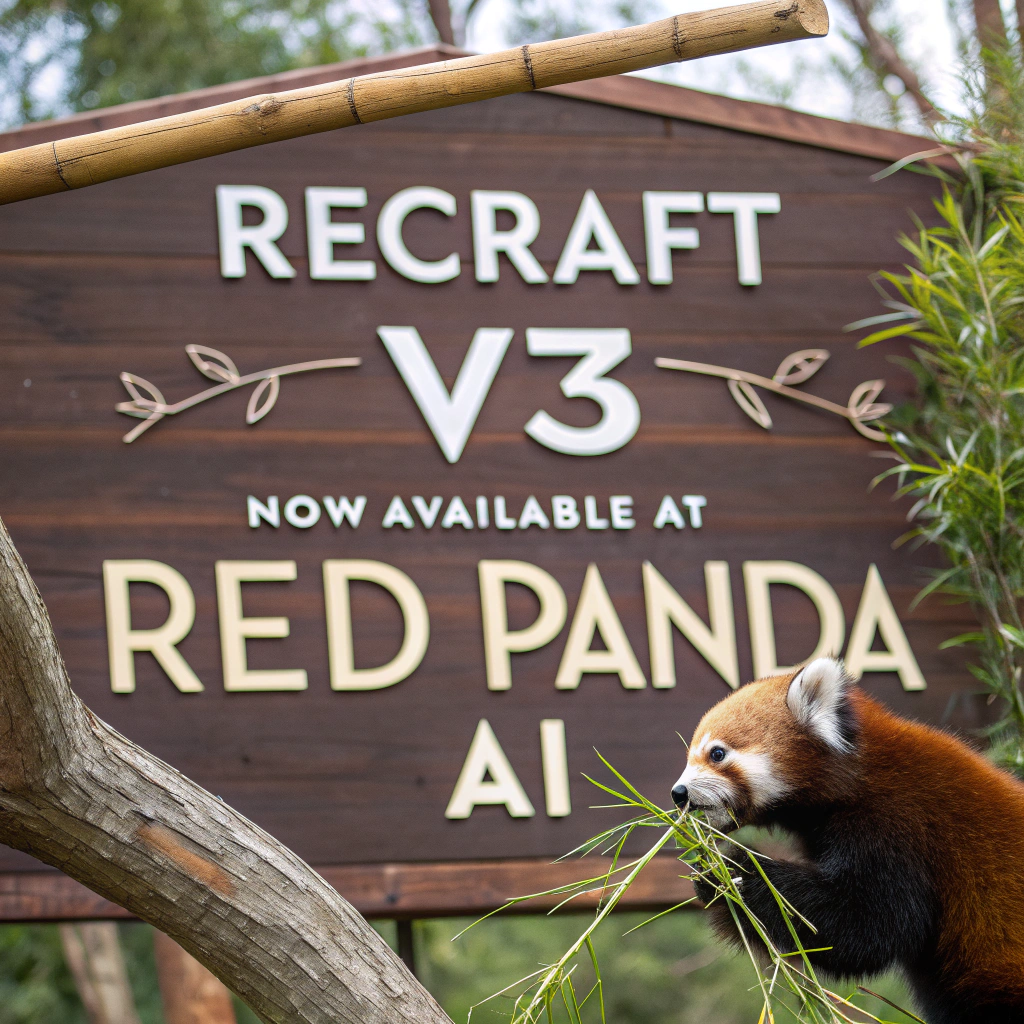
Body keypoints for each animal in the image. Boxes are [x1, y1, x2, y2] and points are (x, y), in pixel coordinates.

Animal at [671, 657, 1024, 1024]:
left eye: (716, 754)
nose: (678, 793)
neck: (858, 777)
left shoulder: (898, 822)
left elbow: (866, 926)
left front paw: (734, 872)